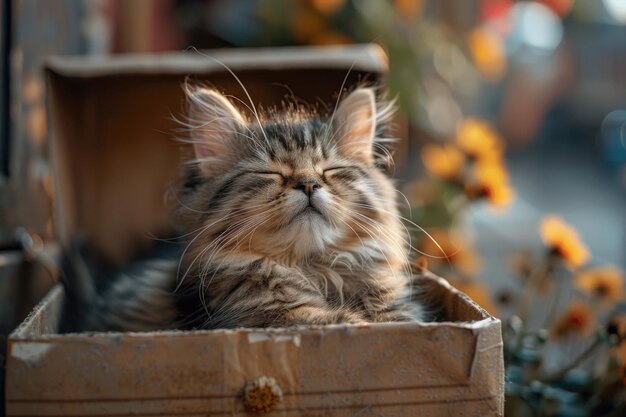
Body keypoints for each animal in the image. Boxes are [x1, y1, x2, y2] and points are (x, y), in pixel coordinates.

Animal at [61, 85, 424, 332]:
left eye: (330, 171)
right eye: (271, 173)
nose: (308, 184)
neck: (313, 270)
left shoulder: (396, 310)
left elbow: (394, 320)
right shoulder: (269, 320)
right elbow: (342, 322)